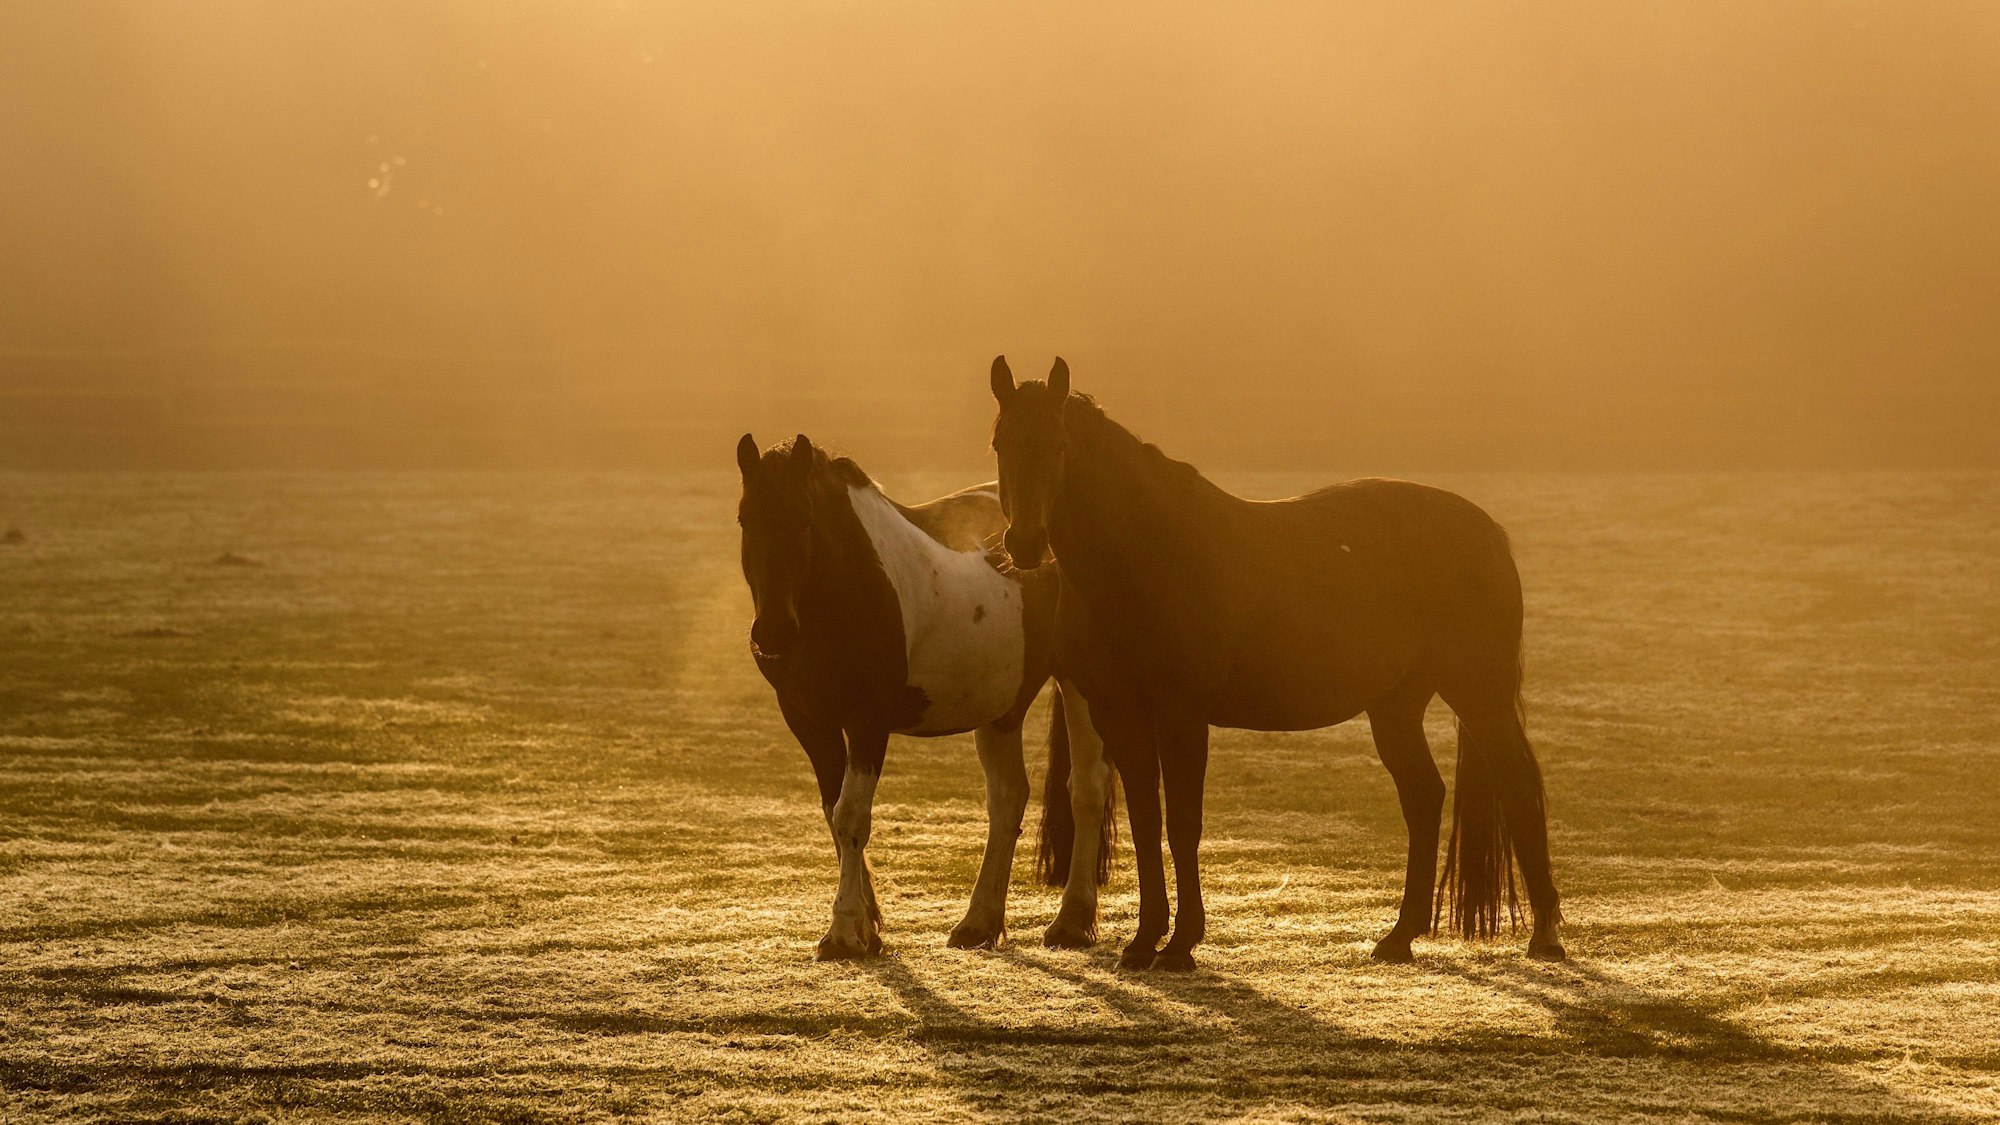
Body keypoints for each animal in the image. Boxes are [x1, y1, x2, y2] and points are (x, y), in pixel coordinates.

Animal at [735, 432, 1117, 960]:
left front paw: (845, 931)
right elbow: (833, 814)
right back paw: (978, 923)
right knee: (1008, 798)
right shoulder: (809, 721)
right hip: (1001, 707)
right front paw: (867, 927)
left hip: (1078, 687)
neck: (846, 581)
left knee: (1085, 790)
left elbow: (851, 816)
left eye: (804, 518)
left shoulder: (868, 721)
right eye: (745, 520)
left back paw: (1072, 921)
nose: (771, 632)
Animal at [987, 357, 1564, 971]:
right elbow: (1147, 821)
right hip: (1396, 706)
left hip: (1480, 696)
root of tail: (1487, 531)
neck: (1146, 555)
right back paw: (1399, 936)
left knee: (1519, 786)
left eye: (1059, 444)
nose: (1024, 543)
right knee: (1424, 797)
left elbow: (1183, 824)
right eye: (1000, 443)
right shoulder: (1118, 714)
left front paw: (1182, 942)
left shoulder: (1182, 715)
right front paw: (1144, 941)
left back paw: (1545, 935)